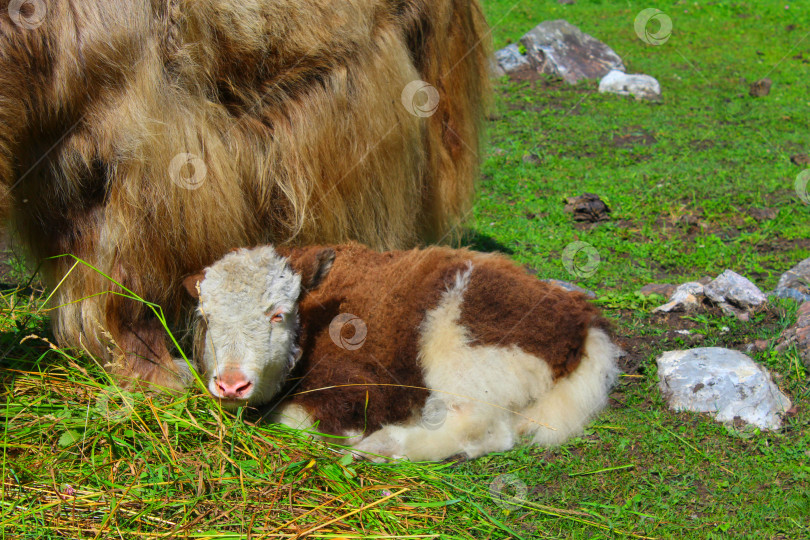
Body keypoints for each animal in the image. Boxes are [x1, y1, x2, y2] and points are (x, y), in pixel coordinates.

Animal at [185, 245, 620, 460]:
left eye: (278, 314)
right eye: (206, 317)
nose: (232, 385)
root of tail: (582, 322)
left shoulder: (358, 385)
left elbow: (295, 422)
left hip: (465, 347)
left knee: (478, 424)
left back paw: (382, 447)